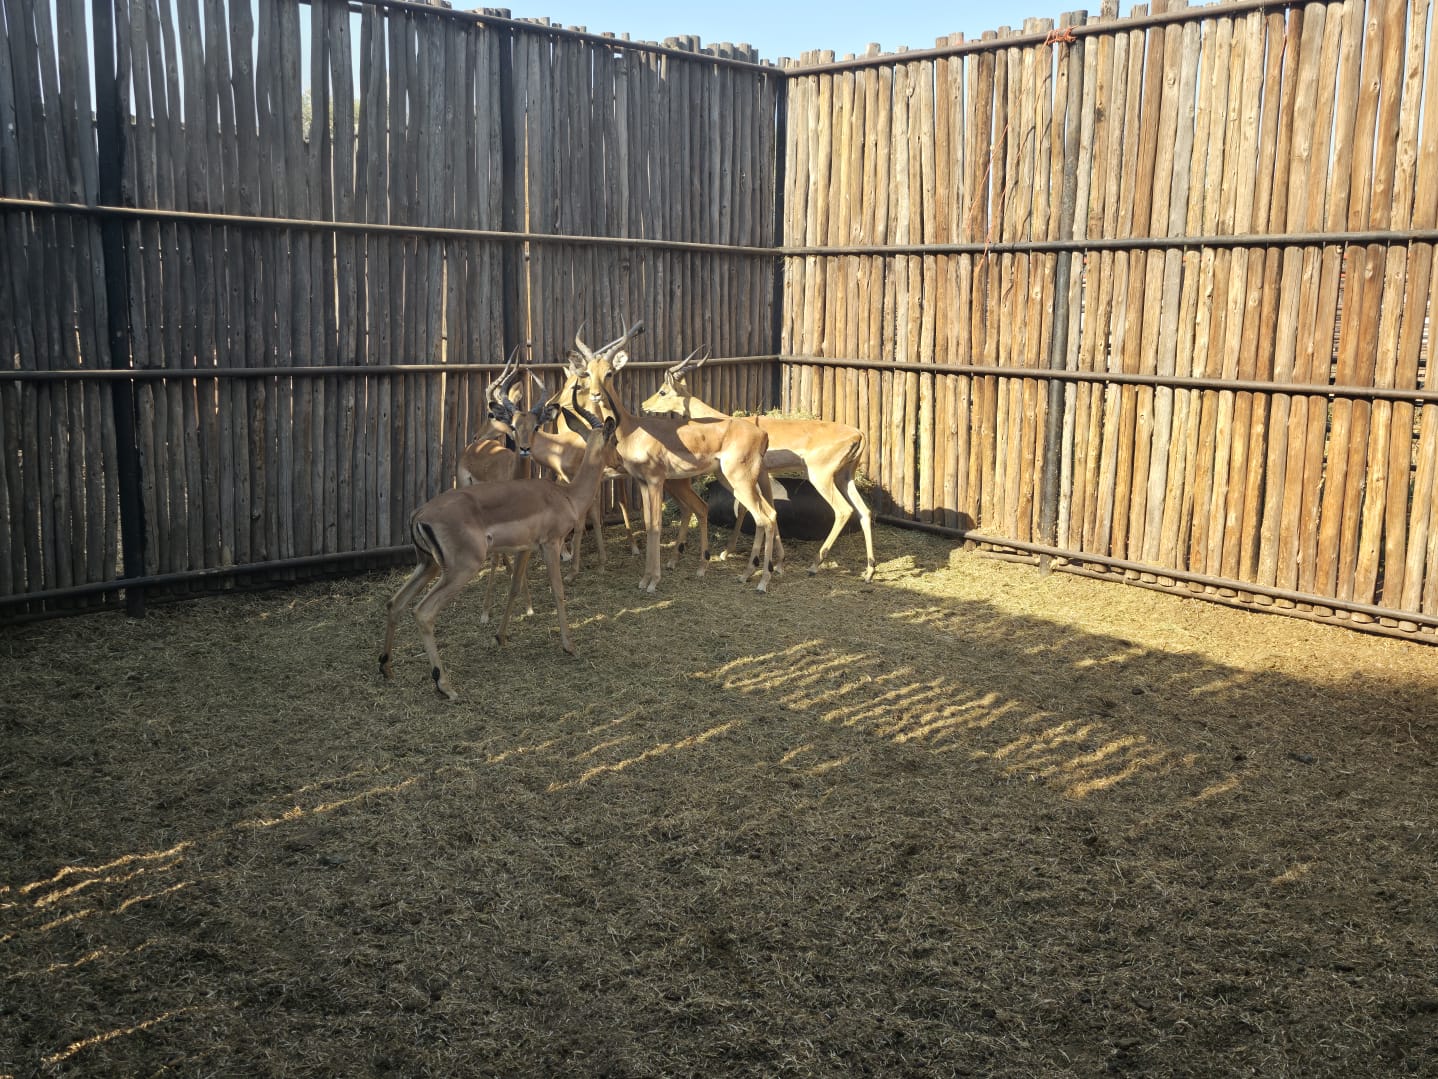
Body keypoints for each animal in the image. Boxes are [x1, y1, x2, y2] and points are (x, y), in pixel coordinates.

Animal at [381, 403, 618, 701]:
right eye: (616, 440)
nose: (619, 462)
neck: (567, 496)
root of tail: (419, 514)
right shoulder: (550, 545)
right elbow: (558, 591)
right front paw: (569, 646)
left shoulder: (526, 548)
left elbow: (514, 588)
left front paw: (500, 637)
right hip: (460, 570)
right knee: (423, 612)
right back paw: (445, 685)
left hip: (428, 566)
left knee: (395, 603)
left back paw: (387, 668)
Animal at [579, 324, 781, 594]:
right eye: (588, 372)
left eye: (609, 372)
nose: (595, 395)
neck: (633, 429)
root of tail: (762, 433)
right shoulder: (642, 482)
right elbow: (647, 523)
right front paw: (645, 578)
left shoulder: (656, 481)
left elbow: (656, 525)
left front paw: (653, 580)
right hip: (738, 481)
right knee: (765, 514)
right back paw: (746, 574)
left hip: (740, 481)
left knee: (765, 518)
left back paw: (762, 581)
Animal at [640, 351, 877, 582]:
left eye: (662, 391)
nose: (644, 404)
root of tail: (859, 434)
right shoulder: (763, 475)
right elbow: (765, 508)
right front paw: (777, 562)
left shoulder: (757, 475)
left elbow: (752, 509)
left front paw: (740, 557)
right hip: (844, 478)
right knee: (864, 510)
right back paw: (869, 570)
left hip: (821, 478)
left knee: (844, 510)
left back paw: (814, 565)